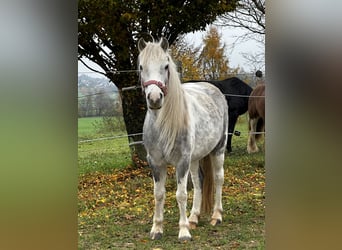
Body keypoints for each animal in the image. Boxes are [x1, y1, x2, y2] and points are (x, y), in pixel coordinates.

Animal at [138, 37, 228, 242]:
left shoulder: (182, 161)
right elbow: (159, 194)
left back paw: (216, 216)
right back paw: (194, 217)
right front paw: (157, 229)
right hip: (195, 158)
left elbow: (180, 195)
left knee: (218, 178)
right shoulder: (155, 162)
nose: (154, 98)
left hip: (218, 150)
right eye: (141, 67)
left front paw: (184, 231)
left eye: (165, 66)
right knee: (199, 181)